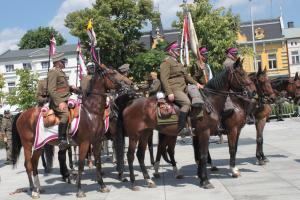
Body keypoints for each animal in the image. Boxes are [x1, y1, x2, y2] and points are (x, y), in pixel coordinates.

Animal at [10, 66, 126, 198]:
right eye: (112, 73)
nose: (127, 84)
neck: (91, 112)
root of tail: (22, 114)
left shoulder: (96, 141)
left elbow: (98, 162)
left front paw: (102, 185)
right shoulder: (85, 143)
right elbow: (80, 164)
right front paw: (79, 189)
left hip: (40, 145)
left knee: (34, 163)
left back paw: (39, 188)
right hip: (28, 144)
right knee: (29, 164)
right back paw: (34, 190)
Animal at [115, 57, 255, 189]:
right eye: (241, 73)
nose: (252, 91)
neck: (209, 101)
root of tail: (130, 102)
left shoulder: (200, 134)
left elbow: (201, 155)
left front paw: (202, 177)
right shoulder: (211, 132)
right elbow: (206, 154)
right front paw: (207, 180)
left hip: (146, 133)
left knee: (142, 154)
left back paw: (149, 180)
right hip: (134, 135)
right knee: (131, 155)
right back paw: (134, 183)